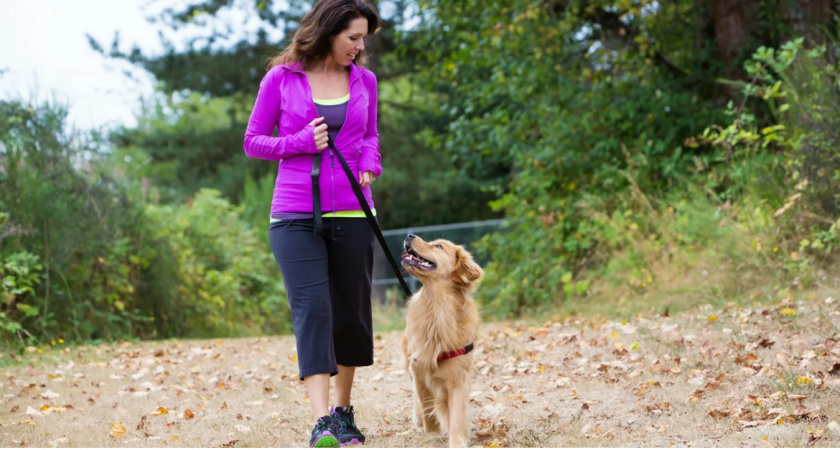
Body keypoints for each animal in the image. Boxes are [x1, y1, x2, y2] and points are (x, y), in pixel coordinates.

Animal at [400, 234, 486, 448]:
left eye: (438, 246)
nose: (409, 235)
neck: (437, 309)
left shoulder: (458, 377)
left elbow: (457, 415)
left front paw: (457, 441)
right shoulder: (419, 366)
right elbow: (425, 402)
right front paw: (433, 432)